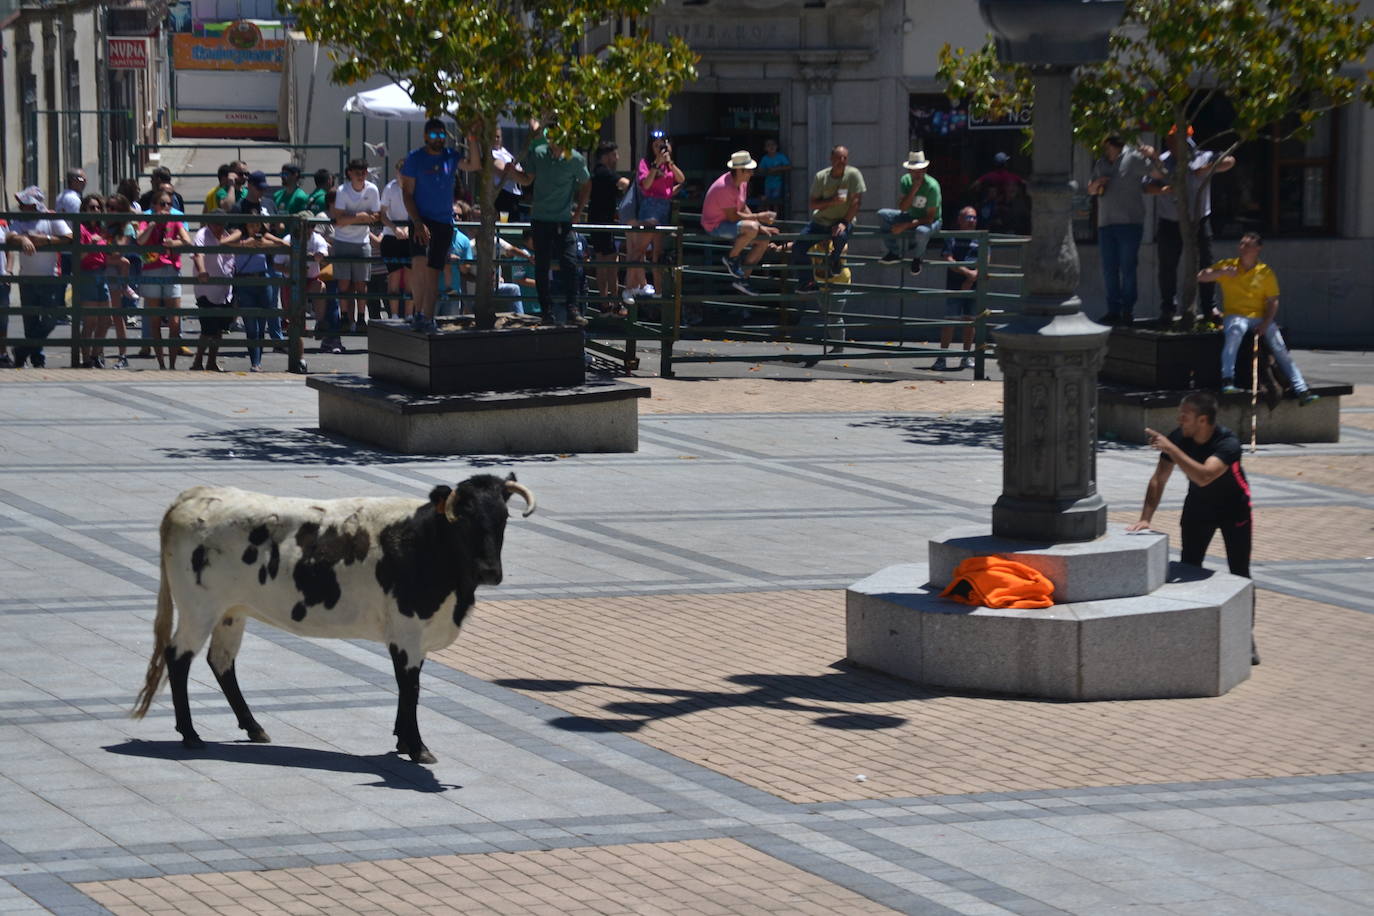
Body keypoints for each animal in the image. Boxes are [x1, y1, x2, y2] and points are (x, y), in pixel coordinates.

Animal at [129, 472, 535, 769]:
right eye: (463, 520)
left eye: (503, 518)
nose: (490, 571)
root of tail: (194, 495)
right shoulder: (407, 631)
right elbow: (411, 688)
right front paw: (417, 747)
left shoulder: (411, 636)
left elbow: (407, 687)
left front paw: (403, 741)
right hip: (198, 608)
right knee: (178, 658)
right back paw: (190, 734)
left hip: (231, 611)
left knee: (221, 662)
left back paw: (254, 728)